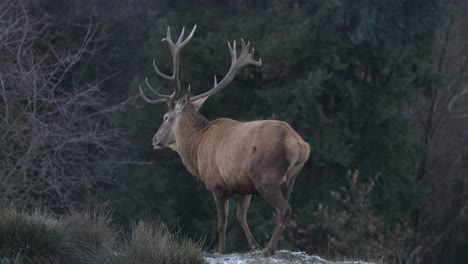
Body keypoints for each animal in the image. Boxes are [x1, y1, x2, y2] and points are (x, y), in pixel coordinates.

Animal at [137, 25, 308, 256]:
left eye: (165, 118)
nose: (154, 139)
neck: (197, 147)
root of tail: (299, 144)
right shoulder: (242, 185)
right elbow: (240, 216)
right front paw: (253, 245)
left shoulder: (216, 182)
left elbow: (222, 222)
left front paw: (222, 250)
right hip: (291, 179)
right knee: (286, 209)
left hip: (265, 174)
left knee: (283, 209)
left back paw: (270, 249)